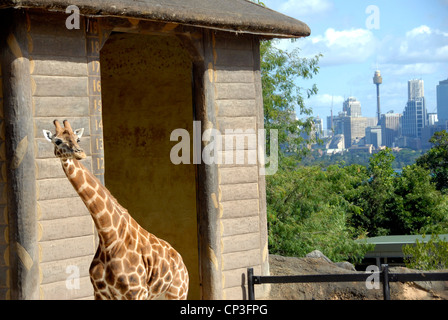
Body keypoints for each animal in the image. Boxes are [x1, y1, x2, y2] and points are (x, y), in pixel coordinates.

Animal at [43, 120, 188, 300]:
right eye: (57, 141)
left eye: (78, 139)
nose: (80, 153)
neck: (108, 237)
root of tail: (182, 263)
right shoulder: (101, 293)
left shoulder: (136, 292)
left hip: (177, 292)